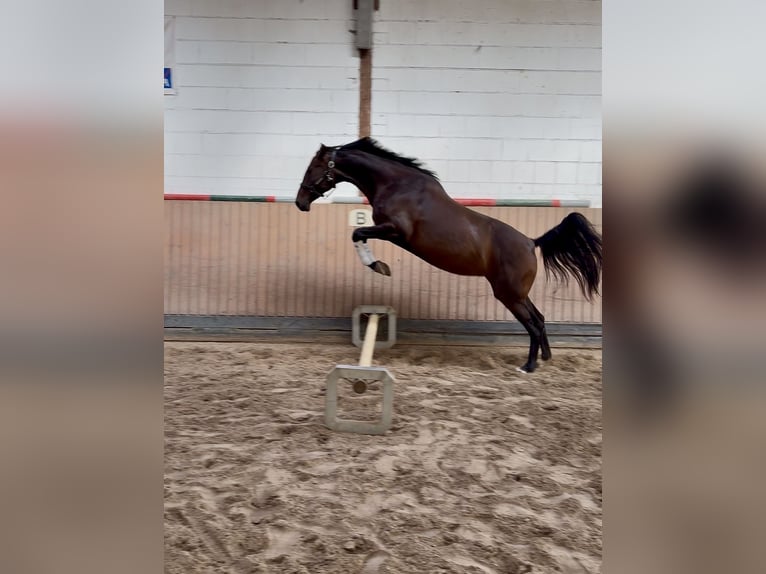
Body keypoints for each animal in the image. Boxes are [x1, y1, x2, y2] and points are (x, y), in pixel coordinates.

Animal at [295, 138, 602, 373]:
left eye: (313, 167)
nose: (300, 202)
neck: (397, 185)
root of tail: (531, 242)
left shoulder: (395, 231)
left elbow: (358, 233)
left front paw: (378, 266)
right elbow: (359, 233)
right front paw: (379, 265)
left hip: (509, 295)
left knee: (534, 325)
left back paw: (528, 366)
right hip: (517, 294)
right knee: (539, 318)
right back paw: (545, 358)